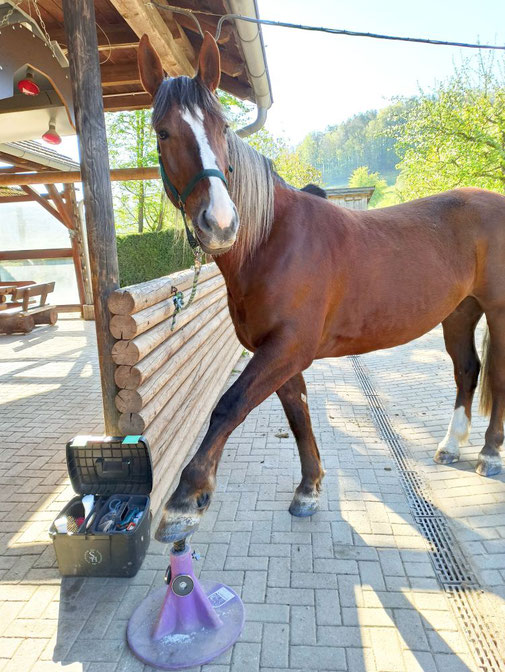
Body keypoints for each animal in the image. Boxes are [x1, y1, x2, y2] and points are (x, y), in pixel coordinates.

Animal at [139, 34, 505, 544]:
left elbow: (229, 406)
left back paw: (489, 454)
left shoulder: (288, 346)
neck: (272, 240)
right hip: (459, 311)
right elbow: (298, 414)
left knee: (498, 376)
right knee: (467, 370)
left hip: (499, 311)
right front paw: (309, 488)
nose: (220, 223)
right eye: (162, 132)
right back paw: (451, 445)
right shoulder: (279, 350)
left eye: (222, 125)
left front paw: (185, 500)